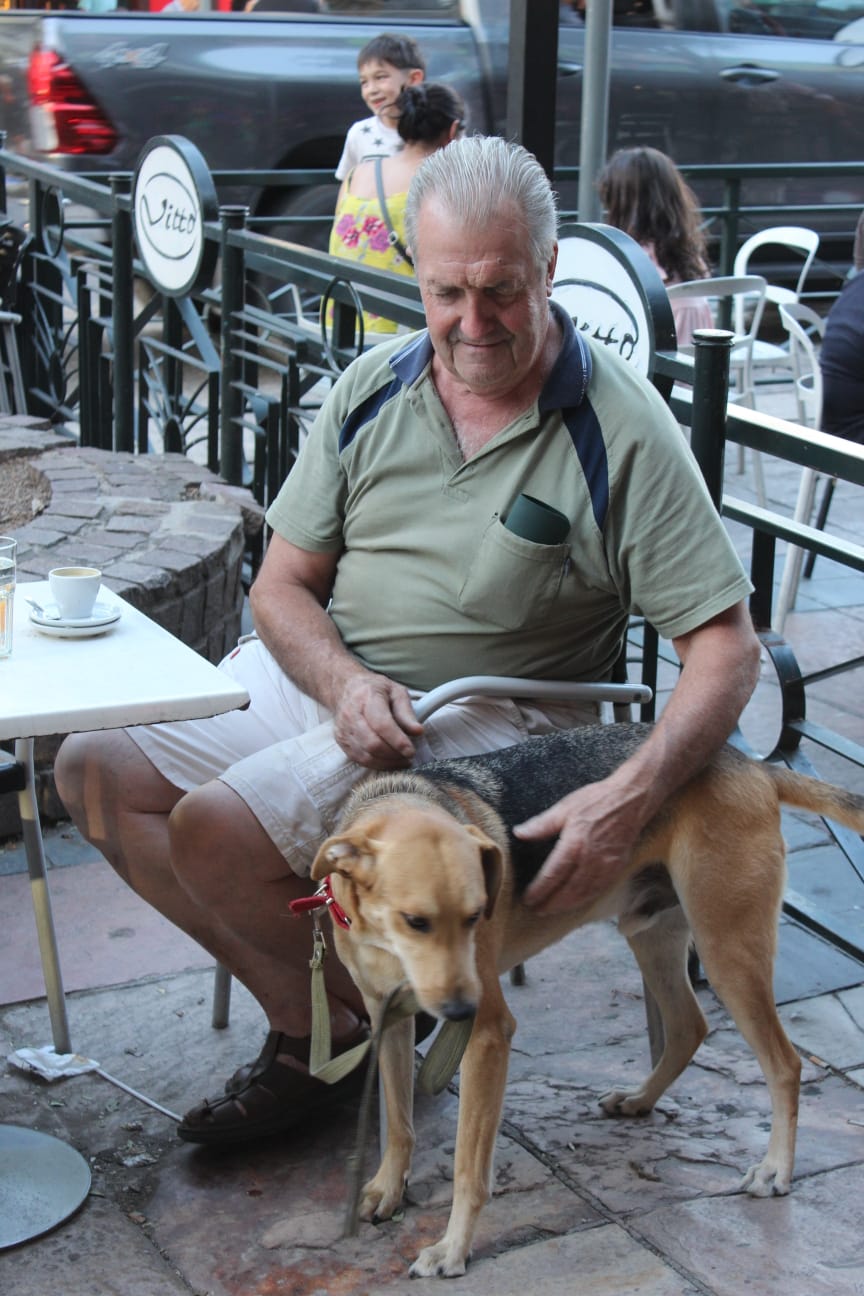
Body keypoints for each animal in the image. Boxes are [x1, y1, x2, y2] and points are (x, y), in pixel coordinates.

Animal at [310, 724, 864, 1278]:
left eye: (475, 916)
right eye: (415, 921)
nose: (463, 1011)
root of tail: (750, 765)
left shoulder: (487, 1037)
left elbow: (469, 1166)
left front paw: (452, 1248)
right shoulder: (388, 1020)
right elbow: (398, 1123)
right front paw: (387, 1187)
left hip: (727, 950)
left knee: (785, 1064)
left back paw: (775, 1169)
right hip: (654, 935)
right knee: (689, 1027)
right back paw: (640, 1099)